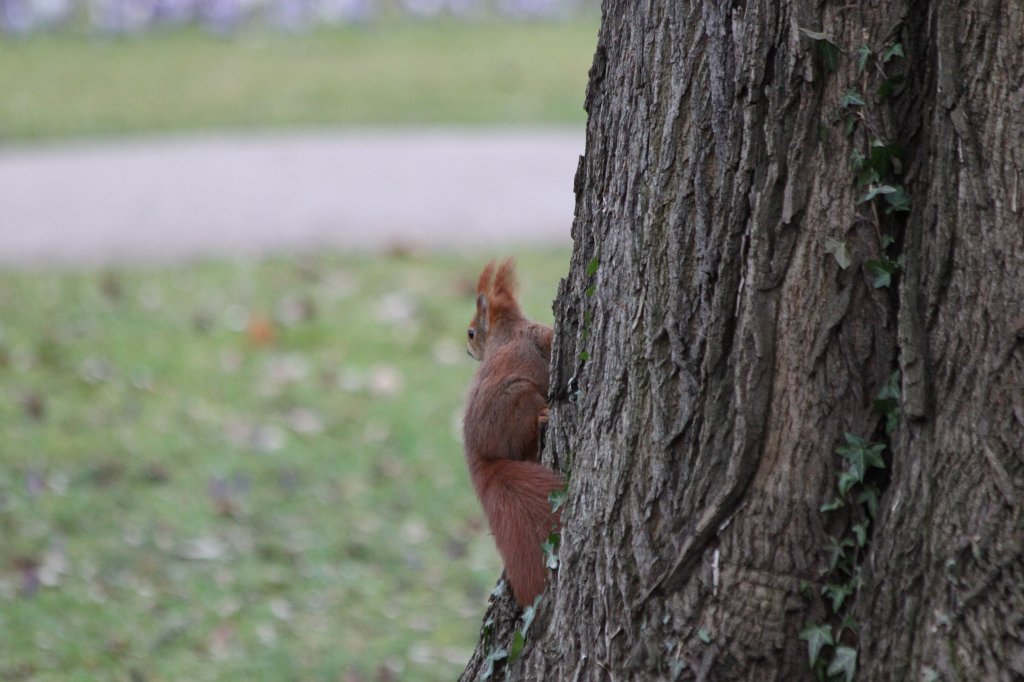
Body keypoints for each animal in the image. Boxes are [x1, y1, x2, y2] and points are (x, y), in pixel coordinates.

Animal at [462, 258, 564, 607]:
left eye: (471, 332)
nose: (468, 350)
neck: (508, 329)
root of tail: (482, 459)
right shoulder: (538, 335)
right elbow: (551, 337)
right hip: (520, 397)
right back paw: (542, 420)